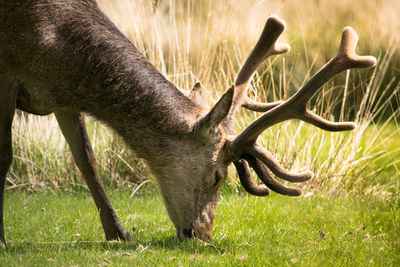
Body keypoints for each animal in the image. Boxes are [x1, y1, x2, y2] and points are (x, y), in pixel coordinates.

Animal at [0, 0, 378, 249]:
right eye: (218, 176)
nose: (202, 235)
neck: (53, 46)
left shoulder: (62, 96)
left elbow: (87, 161)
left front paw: (119, 234)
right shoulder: (8, 75)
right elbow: (6, 157)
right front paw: (2, 241)